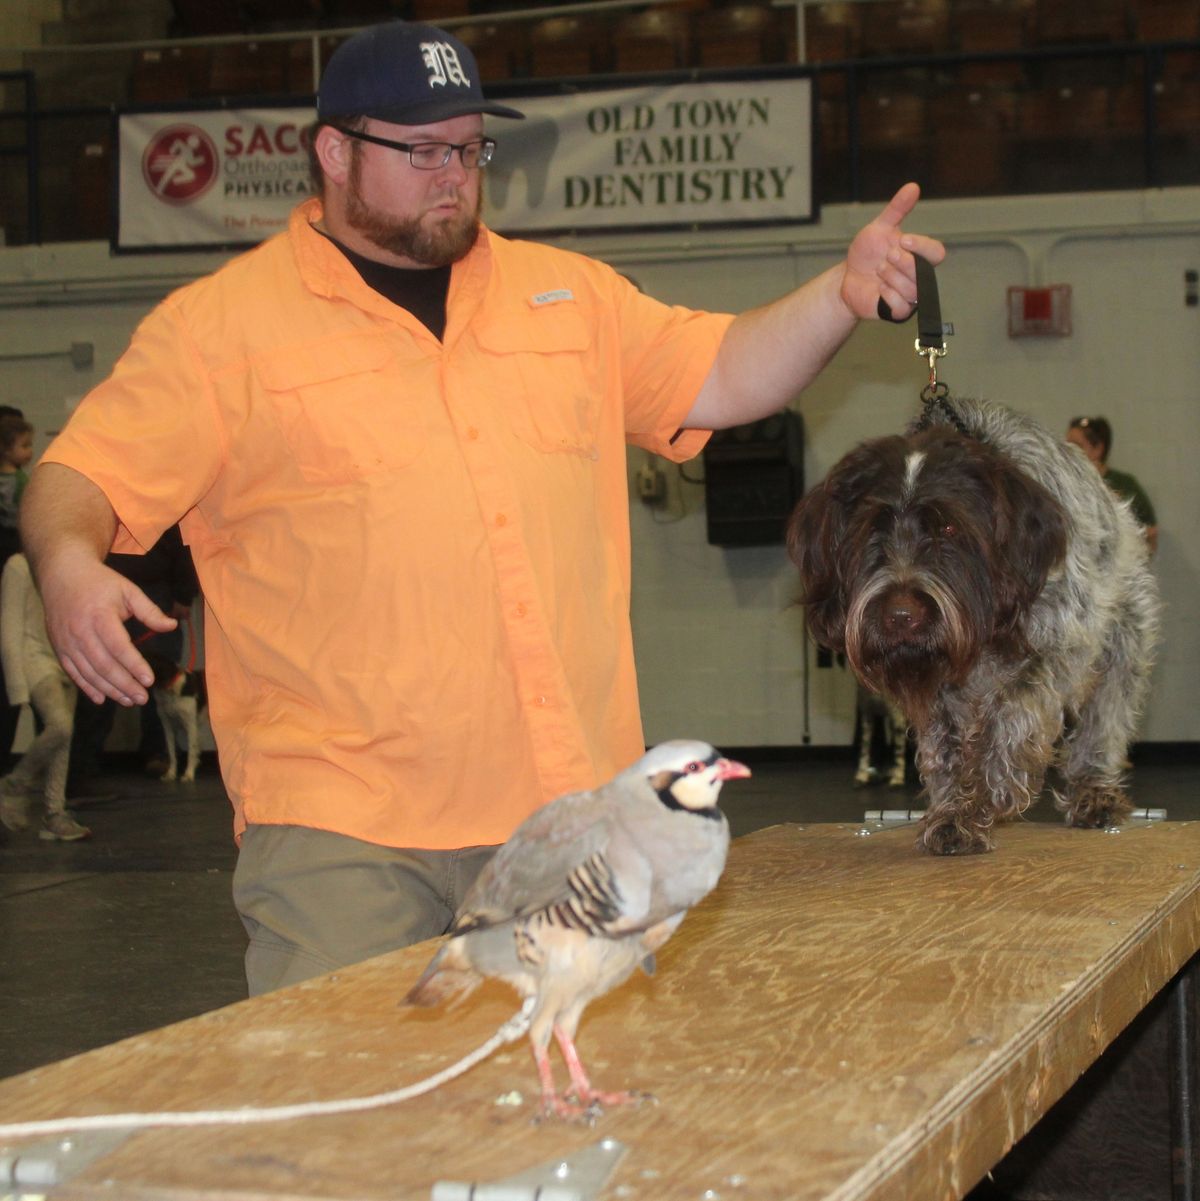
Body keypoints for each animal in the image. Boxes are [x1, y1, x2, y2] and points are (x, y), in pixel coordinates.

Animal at [787, 398, 1162, 850]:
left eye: (949, 527)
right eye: (872, 529)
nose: (900, 617)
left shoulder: (1057, 649)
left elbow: (1011, 713)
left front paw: (992, 789)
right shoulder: (935, 678)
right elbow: (944, 745)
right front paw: (955, 809)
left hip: (1124, 639)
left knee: (1103, 721)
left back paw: (1094, 791)